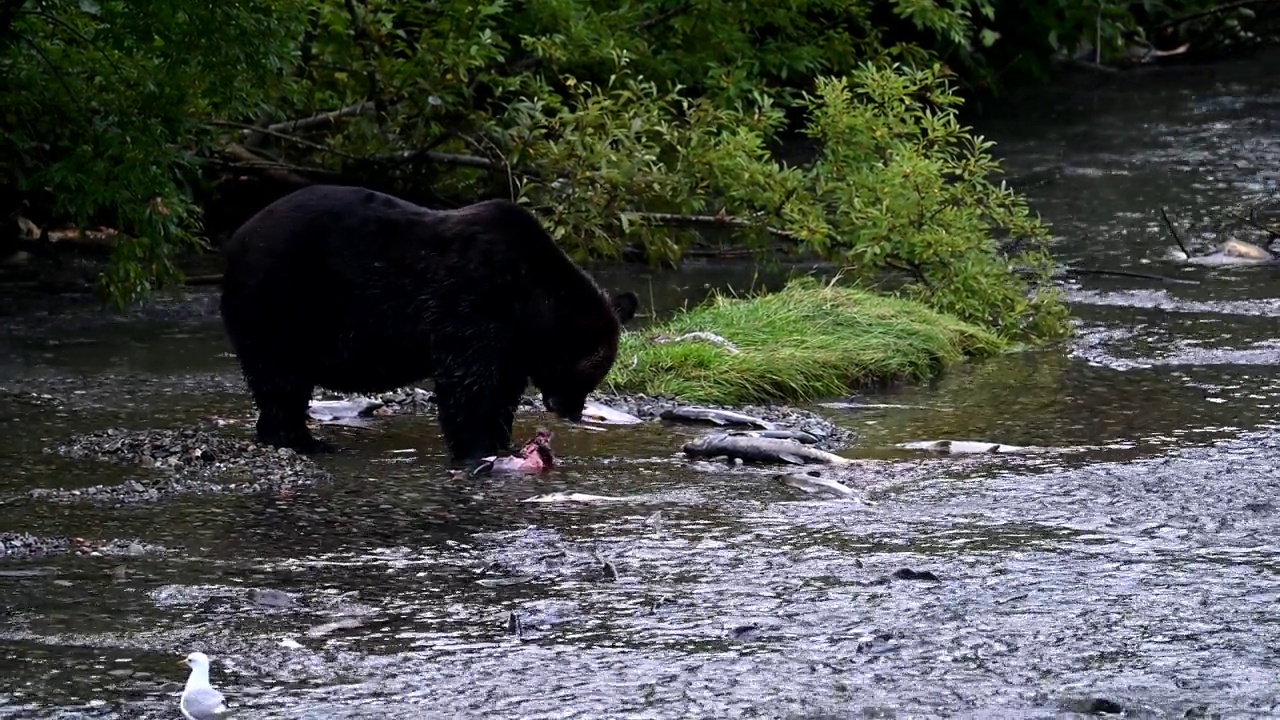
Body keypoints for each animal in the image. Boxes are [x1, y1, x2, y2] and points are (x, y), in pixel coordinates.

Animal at [222, 184, 640, 461]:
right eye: (588, 372)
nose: (571, 411)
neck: (529, 303)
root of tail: (237, 236)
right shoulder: (472, 301)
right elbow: (468, 387)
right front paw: (477, 447)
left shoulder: (508, 342)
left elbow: (502, 390)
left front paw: (501, 440)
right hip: (282, 298)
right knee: (281, 376)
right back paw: (306, 440)